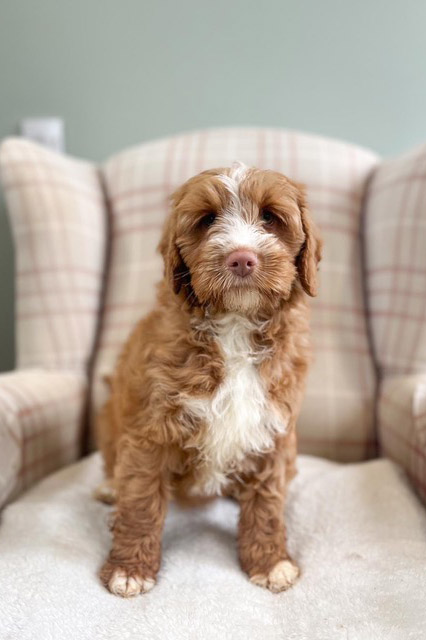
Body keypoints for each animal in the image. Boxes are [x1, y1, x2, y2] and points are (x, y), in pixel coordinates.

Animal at [96, 164, 322, 596]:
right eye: (206, 221)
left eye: (271, 217)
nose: (242, 259)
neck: (234, 325)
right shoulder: (150, 429)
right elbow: (141, 499)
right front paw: (130, 569)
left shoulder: (274, 429)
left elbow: (267, 501)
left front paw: (269, 562)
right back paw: (109, 486)